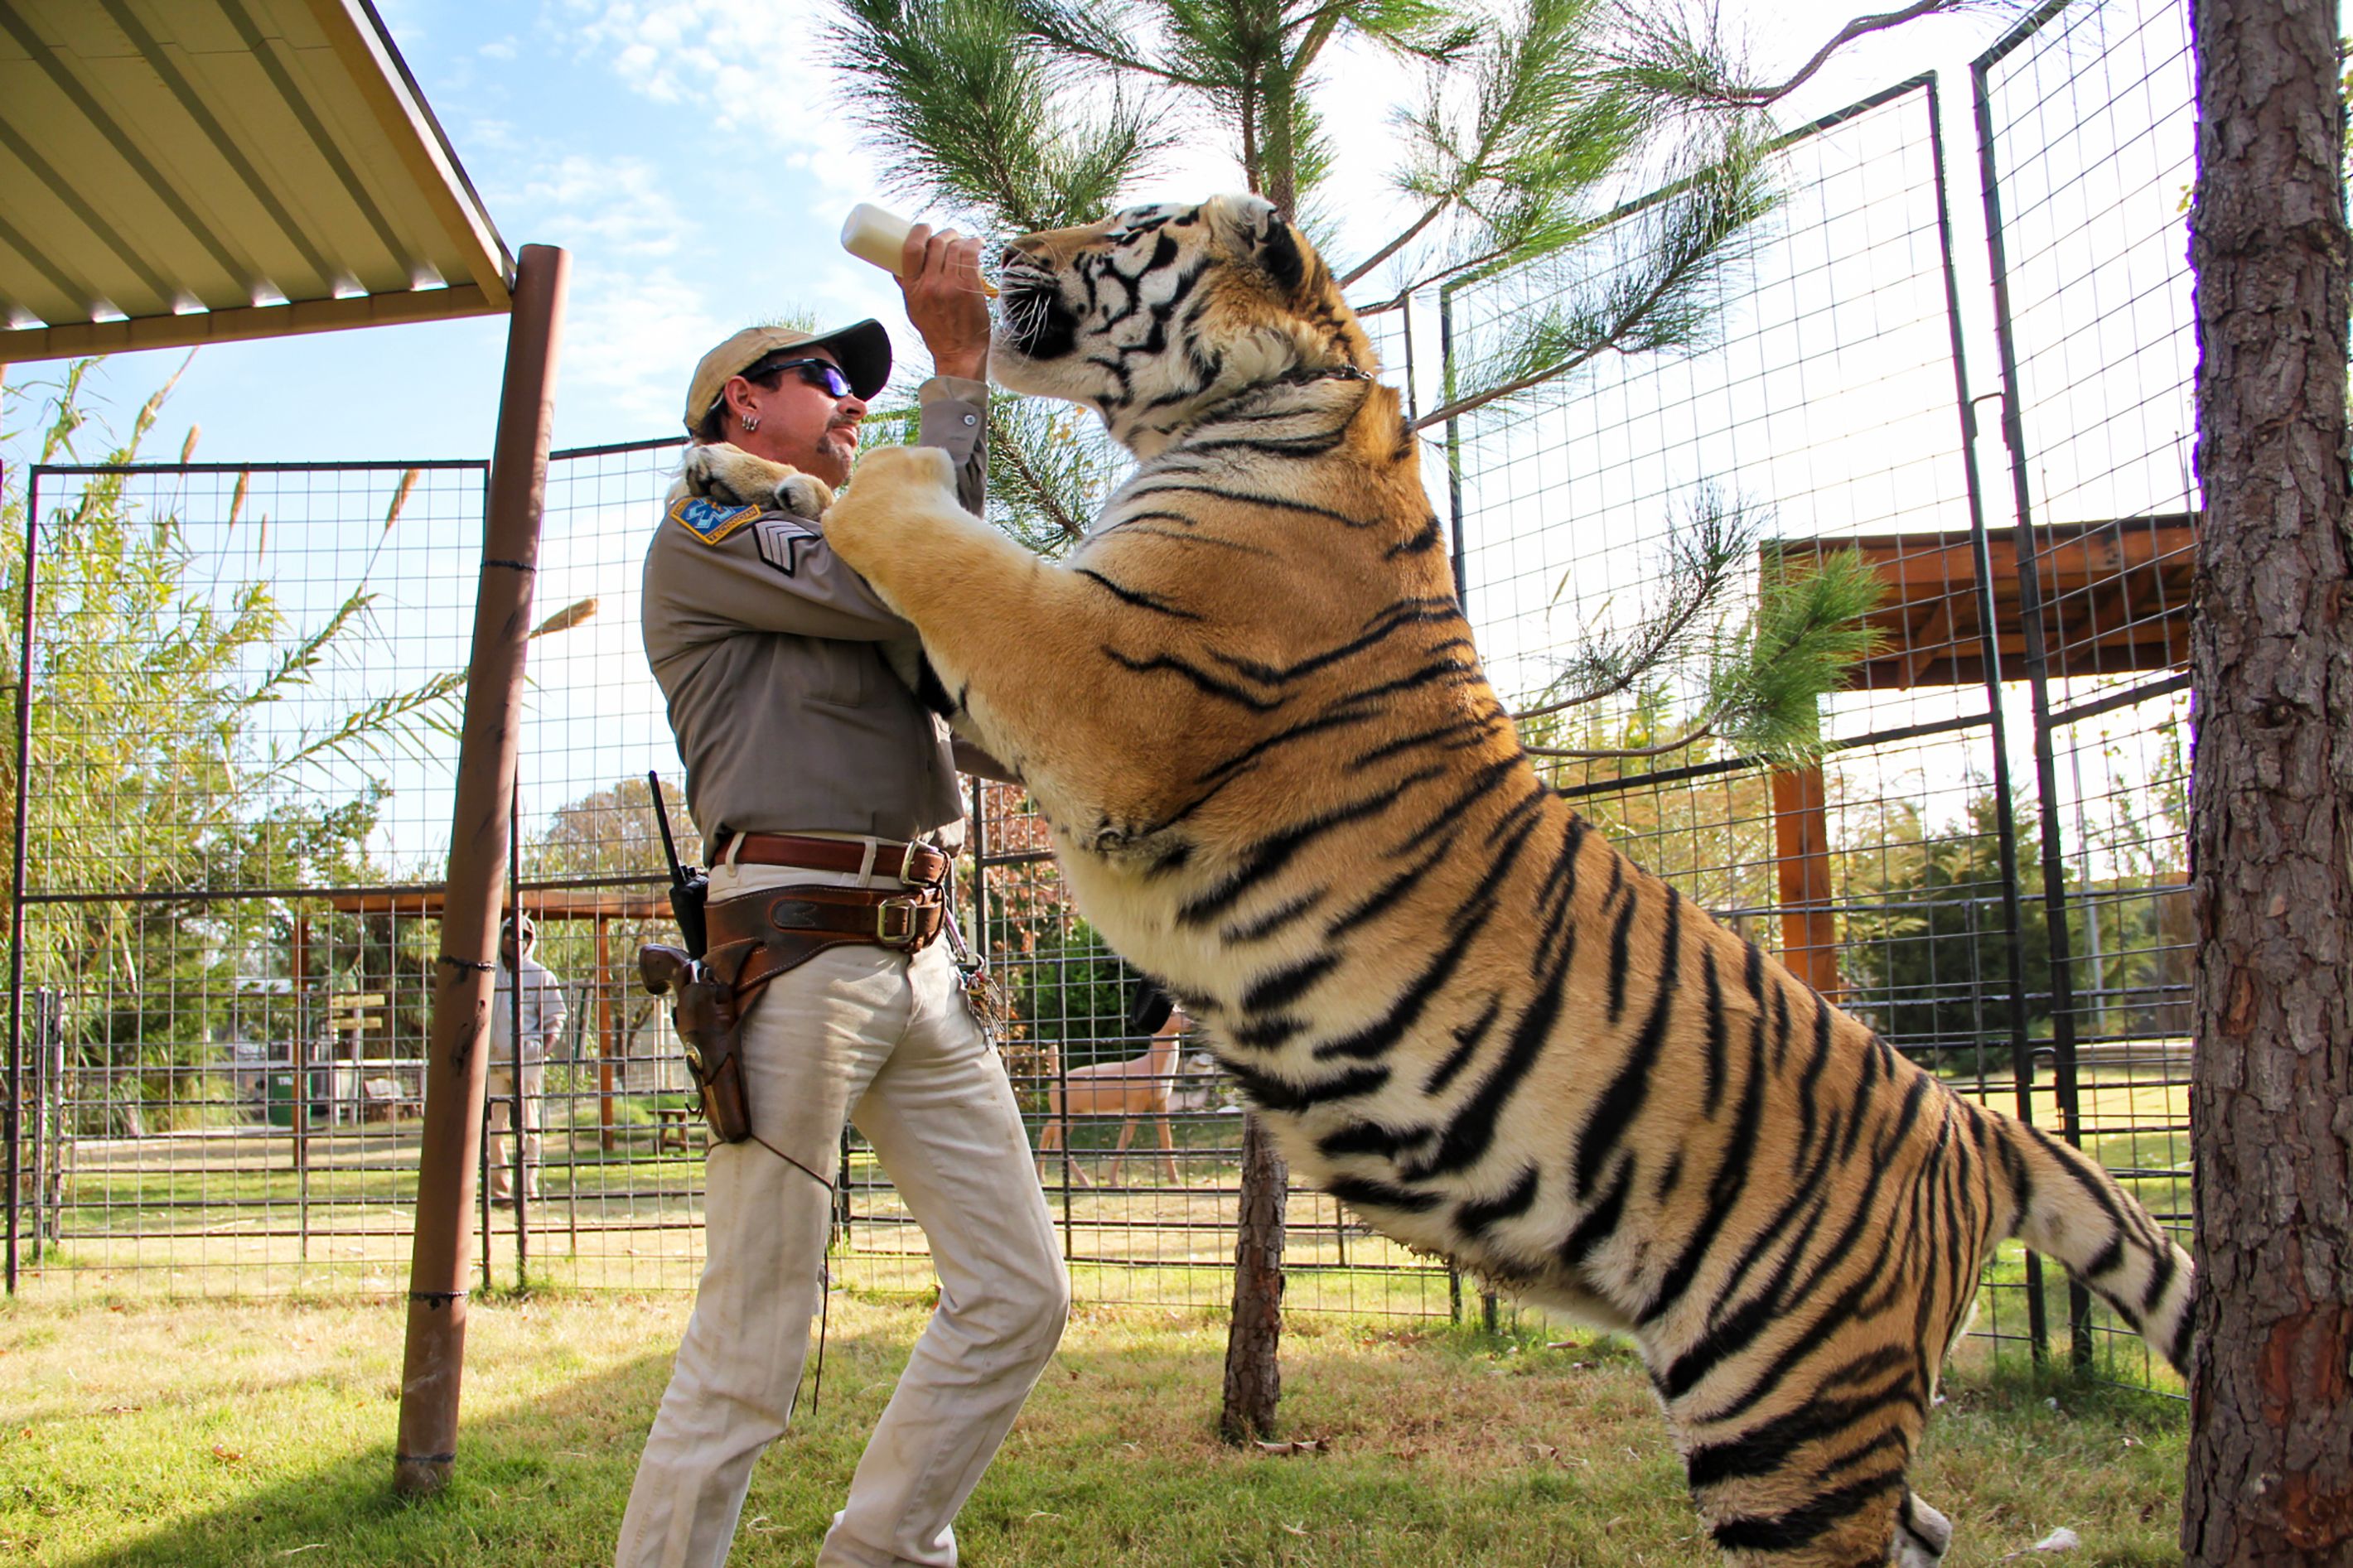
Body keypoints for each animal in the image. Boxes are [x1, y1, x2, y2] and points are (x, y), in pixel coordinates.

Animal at [814, 195, 2202, 1568]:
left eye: (1124, 226)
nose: (1002, 249)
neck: (1265, 401)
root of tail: (1972, 1124)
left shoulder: (1104, 685)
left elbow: (949, 552)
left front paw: (860, 470)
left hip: (1787, 1413)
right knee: (1928, 1522)